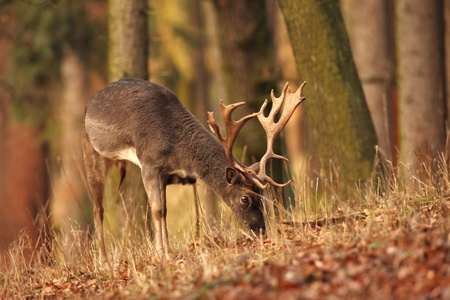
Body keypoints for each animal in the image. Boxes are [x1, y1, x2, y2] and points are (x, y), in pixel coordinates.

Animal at [81, 78, 306, 258]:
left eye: (262, 194)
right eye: (245, 198)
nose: (261, 230)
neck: (176, 148)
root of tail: (88, 104)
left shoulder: (164, 170)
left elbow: (165, 210)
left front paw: (168, 250)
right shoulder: (149, 162)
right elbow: (157, 209)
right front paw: (161, 254)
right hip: (92, 153)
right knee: (97, 208)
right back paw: (103, 260)